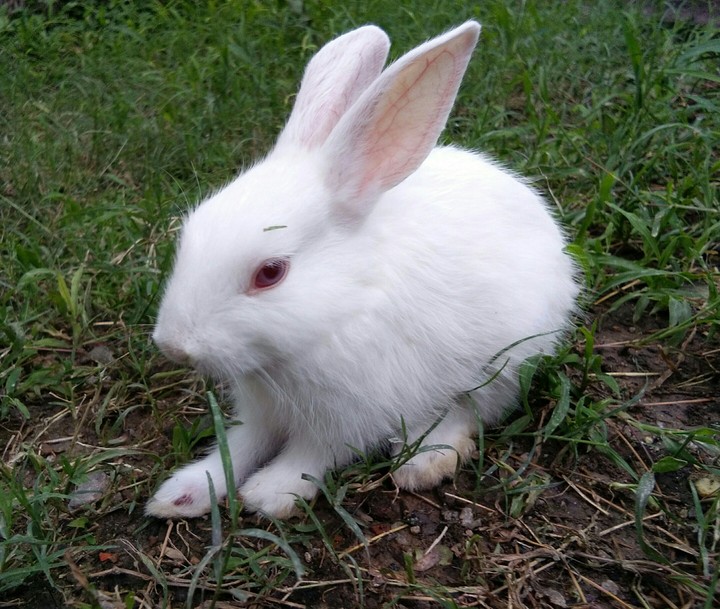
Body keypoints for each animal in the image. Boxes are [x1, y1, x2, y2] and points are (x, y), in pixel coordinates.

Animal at [146, 20, 579, 520]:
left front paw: (270, 493)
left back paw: (424, 461)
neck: (343, 308)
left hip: (508, 360)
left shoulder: (350, 416)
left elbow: (312, 454)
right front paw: (182, 494)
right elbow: (239, 447)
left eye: (270, 273)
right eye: (190, 232)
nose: (174, 347)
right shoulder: (261, 412)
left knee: (472, 409)